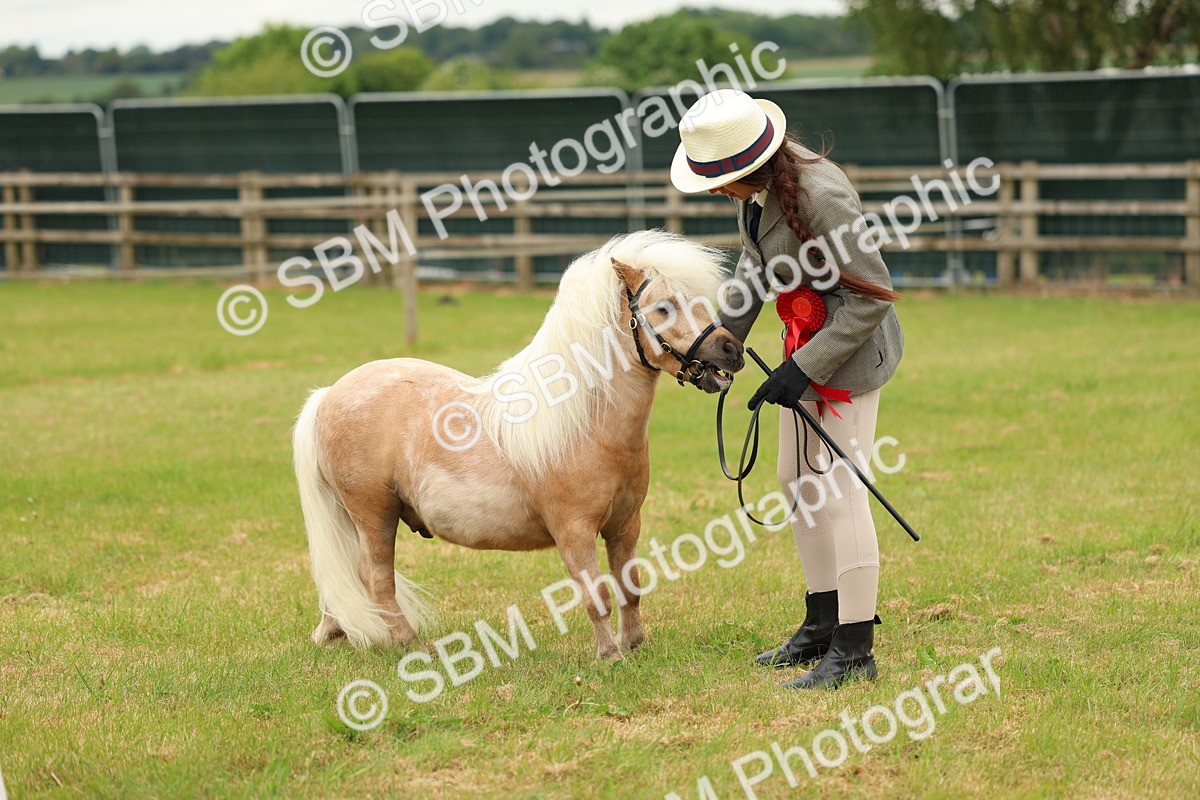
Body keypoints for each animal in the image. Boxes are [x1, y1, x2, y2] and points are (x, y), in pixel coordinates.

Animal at [292, 230, 745, 659]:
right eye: (663, 307)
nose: (732, 350)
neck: (586, 423)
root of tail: (328, 396)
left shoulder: (625, 525)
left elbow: (628, 585)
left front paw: (634, 644)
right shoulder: (574, 532)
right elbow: (595, 594)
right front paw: (610, 655)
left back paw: (334, 630)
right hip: (374, 515)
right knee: (375, 579)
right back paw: (414, 647)